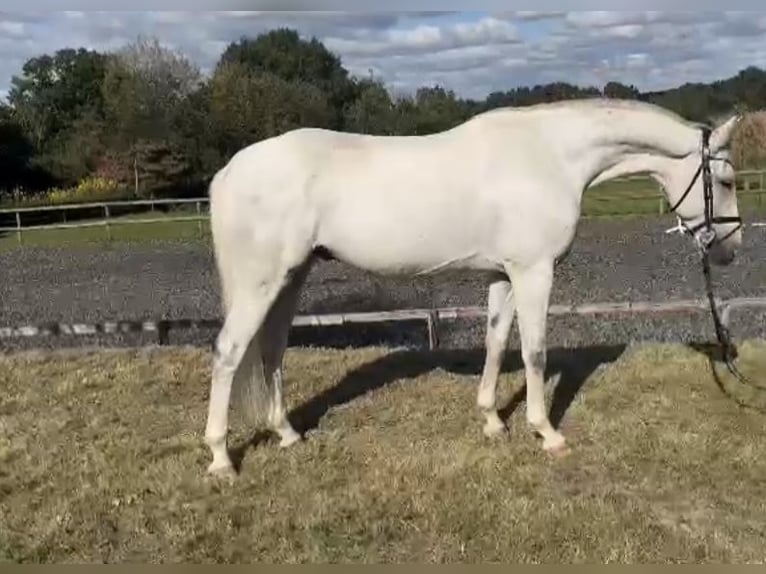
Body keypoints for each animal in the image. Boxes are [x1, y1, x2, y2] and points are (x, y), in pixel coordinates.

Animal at [201, 99, 740, 482]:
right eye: (728, 180)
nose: (729, 250)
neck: (550, 156)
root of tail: (228, 171)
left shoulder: (502, 274)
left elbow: (496, 342)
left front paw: (492, 421)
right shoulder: (535, 272)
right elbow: (535, 352)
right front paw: (546, 433)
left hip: (290, 277)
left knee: (271, 350)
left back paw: (288, 434)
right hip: (261, 280)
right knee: (230, 352)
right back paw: (222, 459)